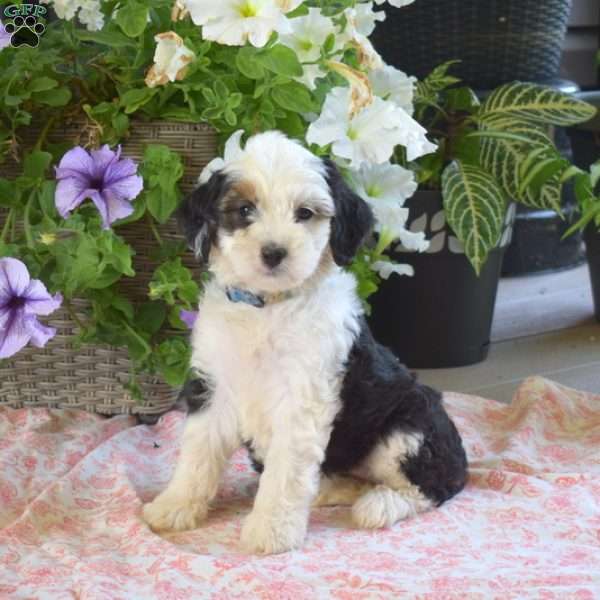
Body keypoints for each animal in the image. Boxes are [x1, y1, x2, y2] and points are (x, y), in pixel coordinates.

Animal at [142, 134, 468, 556]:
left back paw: (378, 505)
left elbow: (285, 472)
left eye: (305, 213)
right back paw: (332, 490)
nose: (273, 252)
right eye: (244, 210)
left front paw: (272, 531)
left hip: (408, 427)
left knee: (431, 486)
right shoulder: (215, 385)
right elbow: (198, 454)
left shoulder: (302, 397)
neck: (268, 307)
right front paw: (174, 507)